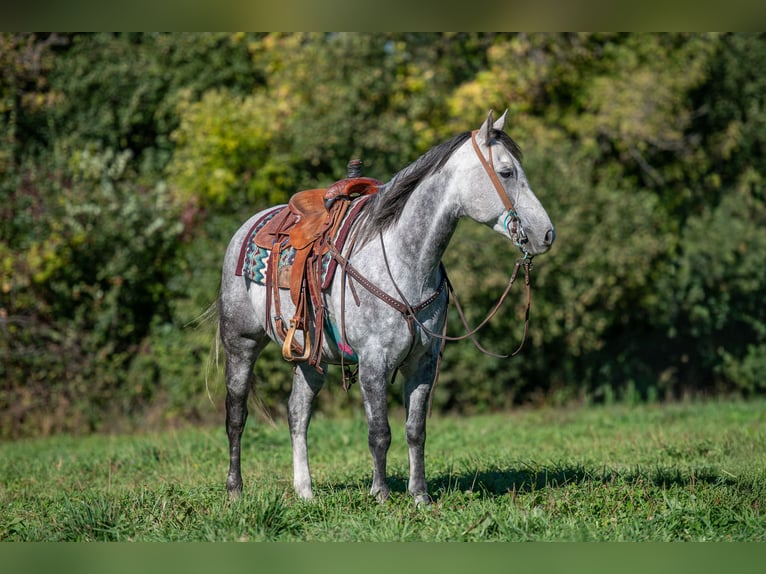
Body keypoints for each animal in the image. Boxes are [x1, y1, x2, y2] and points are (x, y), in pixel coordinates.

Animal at [217, 110, 555, 504]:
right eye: (506, 172)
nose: (546, 234)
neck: (403, 260)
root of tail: (246, 228)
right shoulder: (373, 362)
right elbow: (379, 432)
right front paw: (380, 494)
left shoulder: (423, 363)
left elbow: (415, 430)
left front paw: (420, 495)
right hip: (241, 344)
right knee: (236, 414)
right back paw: (235, 489)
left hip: (311, 357)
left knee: (297, 413)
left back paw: (306, 491)